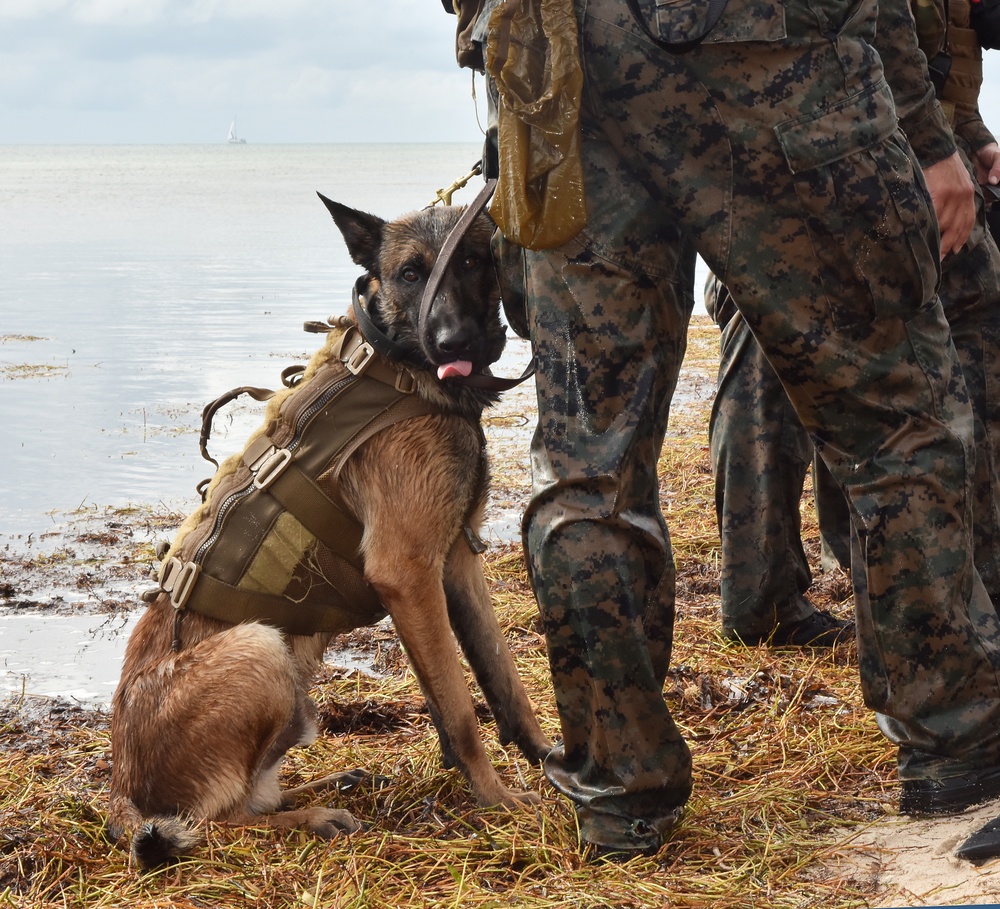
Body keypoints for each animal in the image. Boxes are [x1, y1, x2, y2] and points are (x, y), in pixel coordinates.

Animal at [109, 197, 556, 864]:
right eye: (409, 274)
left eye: (473, 261)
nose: (450, 341)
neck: (399, 364)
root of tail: (122, 793)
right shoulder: (408, 574)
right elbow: (459, 710)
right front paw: (496, 799)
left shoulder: (455, 561)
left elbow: (503, 679)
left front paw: (550, 761)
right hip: (260, 648)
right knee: (217, 821)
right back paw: (315, 816)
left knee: (253, 798)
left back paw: (331, 783)